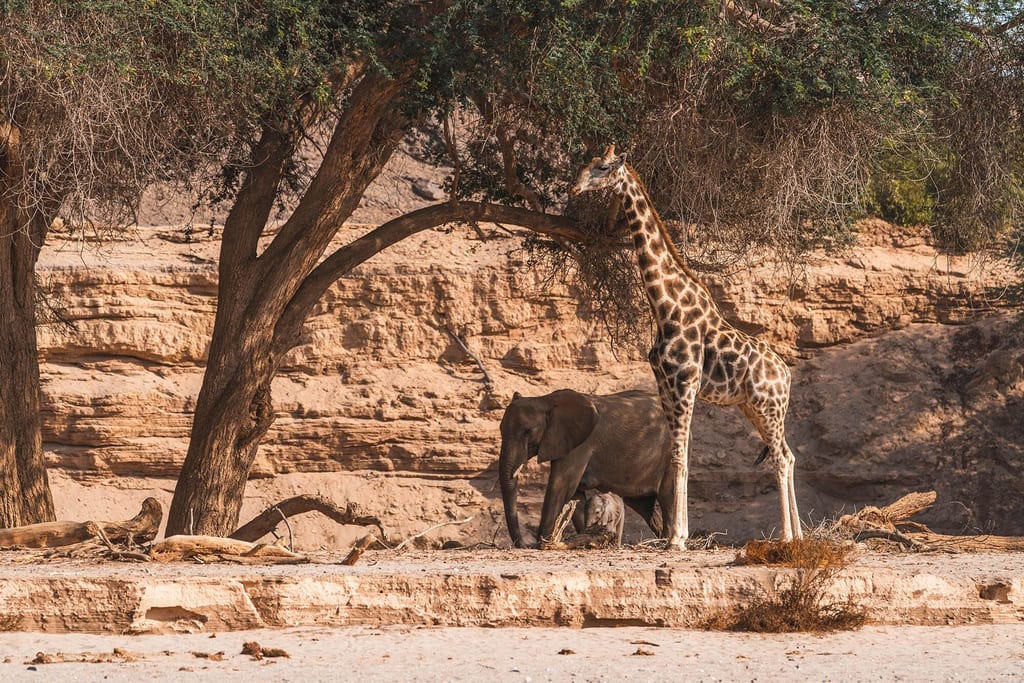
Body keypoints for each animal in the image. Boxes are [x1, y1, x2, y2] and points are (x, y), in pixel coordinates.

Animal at [570, 145, 802, 550]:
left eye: (602, 167)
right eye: (586, 164)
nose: (573, 187)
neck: (665, 306)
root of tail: (786, 374)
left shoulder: (684, 383)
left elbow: (680, 457)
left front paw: (677, 538)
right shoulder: (665, 385)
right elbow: (678, 457)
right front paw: (679, 533)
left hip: (767, 405)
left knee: (781, 459)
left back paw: (787, 537)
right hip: (752, 407)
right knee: (787, 455)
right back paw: (801, 534)